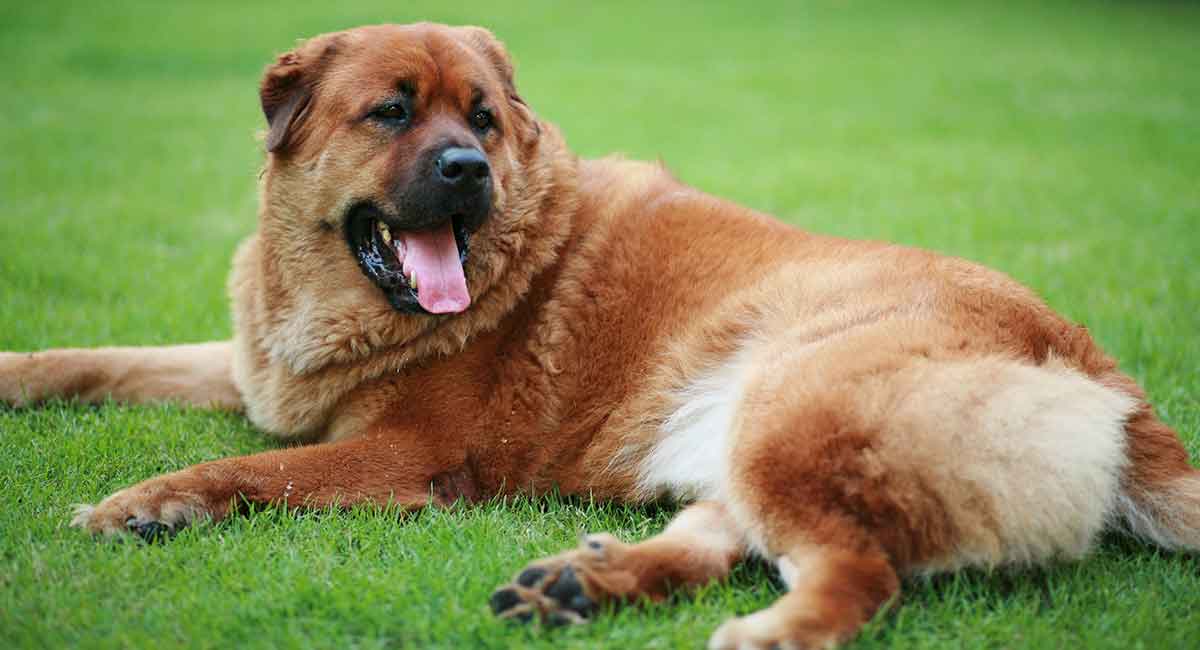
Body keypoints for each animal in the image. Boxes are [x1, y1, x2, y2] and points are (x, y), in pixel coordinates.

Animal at [2, 21, 1200, 650]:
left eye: (483, 120)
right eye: (393, 112)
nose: (467, 171)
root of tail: (1101, 371)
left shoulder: (404, 456)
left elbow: (248, 468)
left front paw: (145, 502)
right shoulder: (257, 370)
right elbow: (113, 359)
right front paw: (19, 371)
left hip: (796, 400)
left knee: (858, 569)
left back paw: (761, 632)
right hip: (751, 425)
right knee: (731, 534)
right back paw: (588, 584)